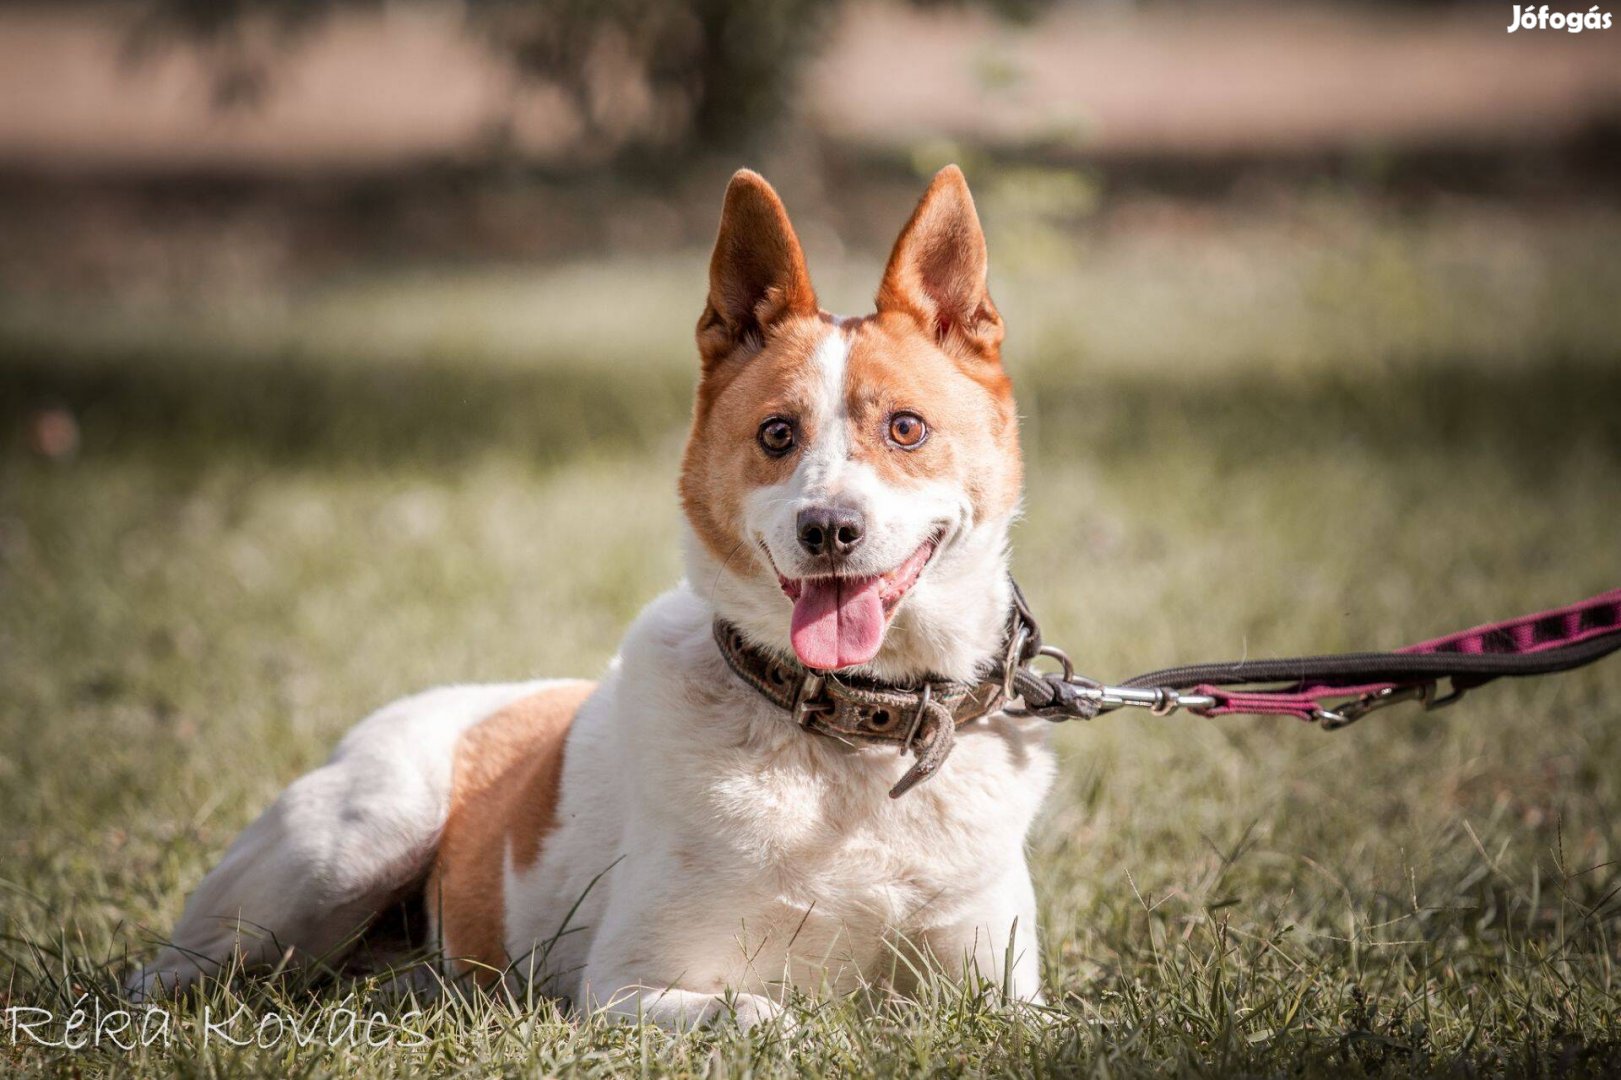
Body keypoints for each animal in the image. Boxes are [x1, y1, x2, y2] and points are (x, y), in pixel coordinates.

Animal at [129, 166, 1055, 1029]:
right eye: (776, 434)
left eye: (905, 428)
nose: (828, 529)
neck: (853, 738)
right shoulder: (627, 985)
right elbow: (764, 1012)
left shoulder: (1001, 989)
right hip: (354, 842)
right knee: (177, 969)